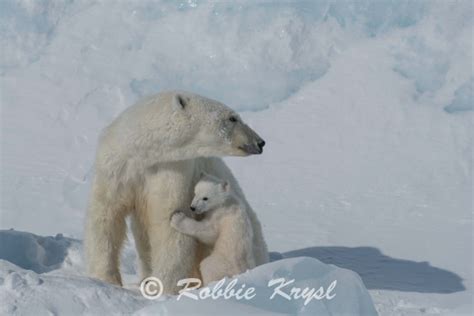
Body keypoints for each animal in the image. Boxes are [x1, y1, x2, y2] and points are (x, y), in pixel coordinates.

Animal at [84, 90, 268, 292]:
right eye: (232, 118)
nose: (260, 142)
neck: (144, 152)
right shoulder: (117, 166)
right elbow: (107, 215)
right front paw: (106, 279)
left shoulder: (173, 171)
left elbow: (168, 226)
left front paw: (160, 287)